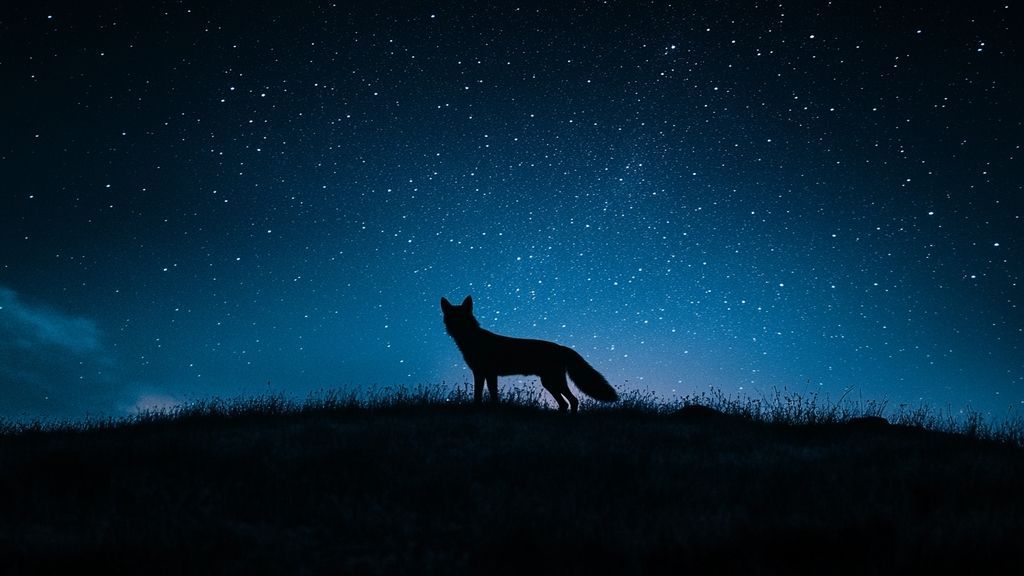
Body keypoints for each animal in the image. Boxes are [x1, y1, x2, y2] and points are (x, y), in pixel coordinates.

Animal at [441, 295, 618, 412]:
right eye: (451, 316)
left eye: (461, 317)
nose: (453, 326)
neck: (473, 340)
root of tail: (561, 347)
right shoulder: (481, 374)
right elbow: (480, 397)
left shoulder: (488, 374)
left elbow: (490, 397)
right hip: (549, 383)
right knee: (566, 403)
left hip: (553, 382)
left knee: (573, 401)